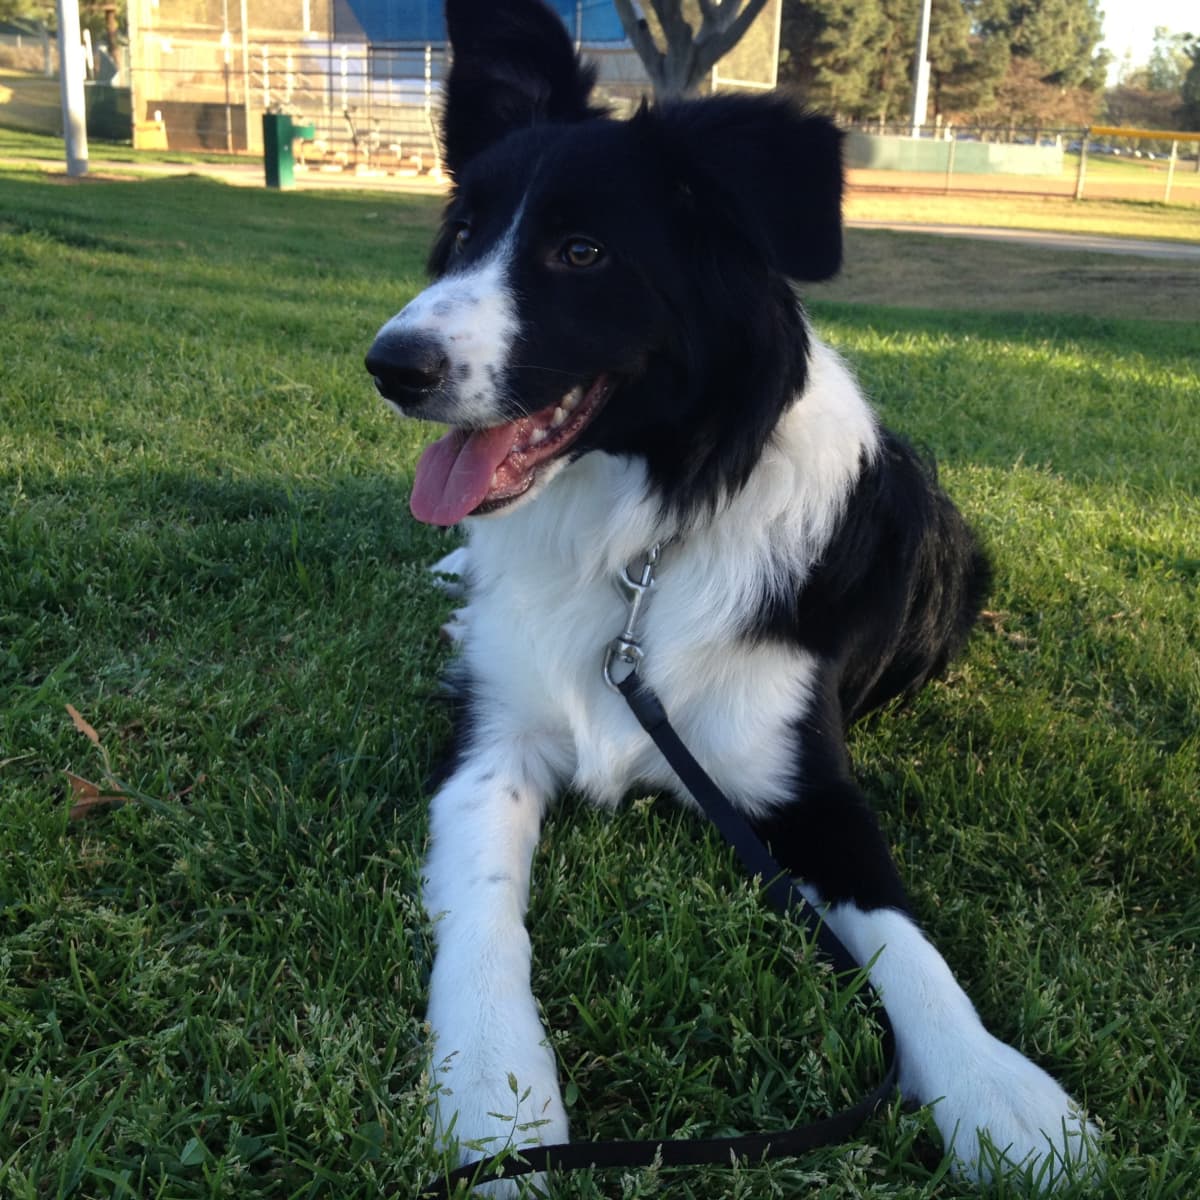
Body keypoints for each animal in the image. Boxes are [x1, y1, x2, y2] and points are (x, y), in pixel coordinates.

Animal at [362, 0, 1099, 1190]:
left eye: (581, 251)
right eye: (464, 234)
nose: (391, 366)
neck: (642, 537)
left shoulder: (807, 790)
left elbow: (909, 945)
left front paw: (1000, 1092)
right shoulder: (493, 740)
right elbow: (484, 917)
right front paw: (496, 1097)